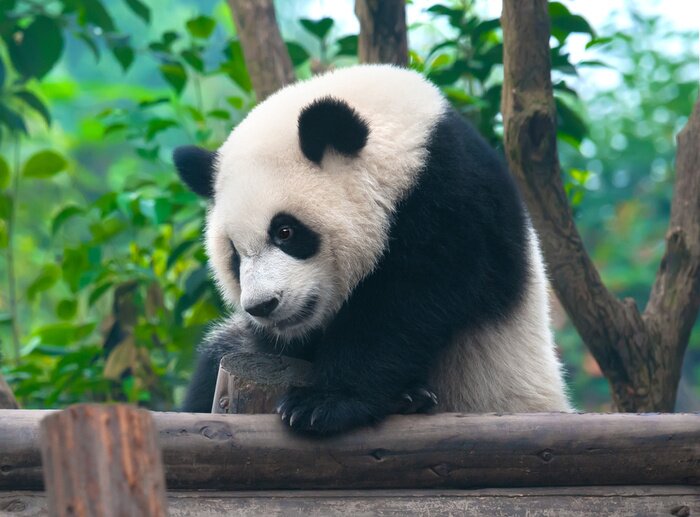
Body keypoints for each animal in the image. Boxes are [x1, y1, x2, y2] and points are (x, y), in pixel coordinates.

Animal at [174, 64, 571, 434]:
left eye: (285, 232)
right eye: (234, 253)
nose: (262, 305)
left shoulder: (453, 206)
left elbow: (403, 306)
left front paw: (321, 404)